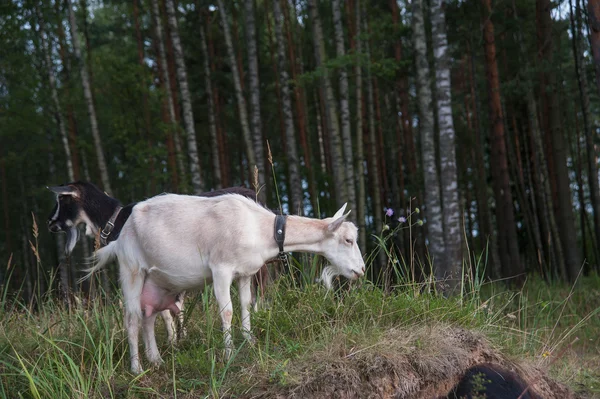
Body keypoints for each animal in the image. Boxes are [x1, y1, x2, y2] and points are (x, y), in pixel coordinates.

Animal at [75, 191, 364, 376]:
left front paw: (249, 341)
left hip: (157, 282)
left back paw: (156, 360)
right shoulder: (221, 269)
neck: (259, 228)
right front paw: (228, 353)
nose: (361, 270)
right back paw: (137, 368)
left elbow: (246, 305)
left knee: (149, 316)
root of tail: (119, 238)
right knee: (133, 318)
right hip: (131, 268)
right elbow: (227, 311)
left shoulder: (246, 272)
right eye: (348, 240)